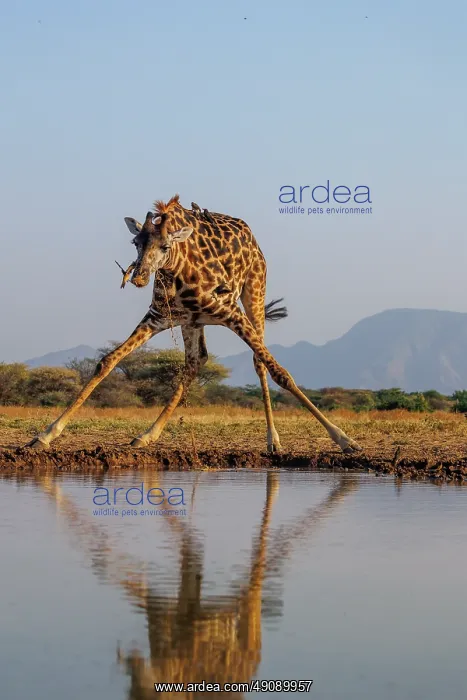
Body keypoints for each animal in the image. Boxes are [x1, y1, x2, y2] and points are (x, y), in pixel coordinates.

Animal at [25, 194, 362, 454]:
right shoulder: (158, 317)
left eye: (164, 246)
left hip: (254, 291)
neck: (177, 271)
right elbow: (106, 362)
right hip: (193, 322)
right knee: (195, 361)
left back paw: (273, 441)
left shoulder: (230, 313)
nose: (139, 277)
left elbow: (281, 372)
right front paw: (44, 435)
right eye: (136, 242)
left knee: (257, 362)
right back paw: (147, 435)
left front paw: (344, 439)